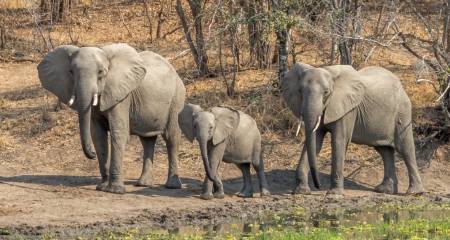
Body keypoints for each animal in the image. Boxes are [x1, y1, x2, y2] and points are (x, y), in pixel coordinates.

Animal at [37, 43, 186, 193]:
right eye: (71, 72)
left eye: (101, 72)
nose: (92, 154)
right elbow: (98, 136)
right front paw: (102, 187)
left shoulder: (122, 96)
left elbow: (119, 133)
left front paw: (115, 190)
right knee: (147, 140)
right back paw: (143, 184)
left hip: (177, 99)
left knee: (172, 138)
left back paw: (172, 185)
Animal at [282, 62, 426, 196]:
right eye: (299, 91)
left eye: (326, 93)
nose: (317, 186)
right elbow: (315, 142)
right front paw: (300, 192)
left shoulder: (348, 109)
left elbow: (339, 140)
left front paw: (335, 194)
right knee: (385, 151)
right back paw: (384, 190)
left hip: (402, 112)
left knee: (406, 149)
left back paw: (414, 192)